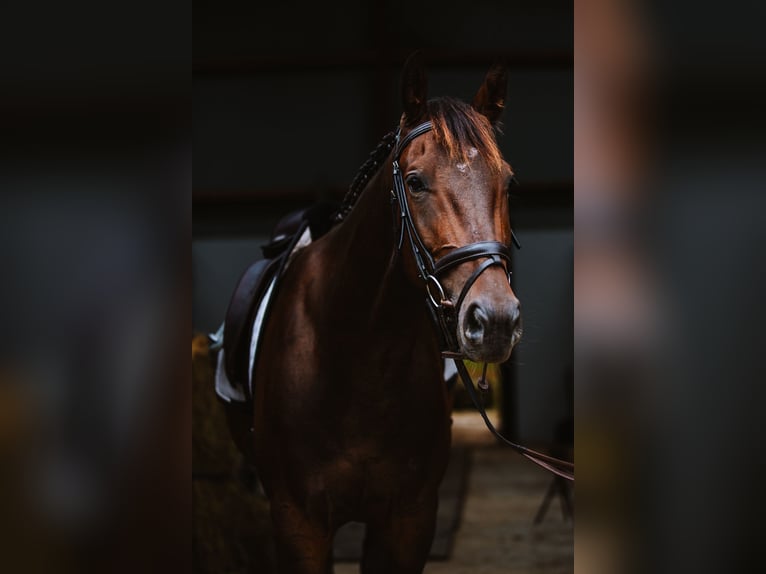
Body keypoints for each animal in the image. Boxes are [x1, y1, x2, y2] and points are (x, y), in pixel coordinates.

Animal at [227, 55, 523, 573]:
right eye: (415, 182)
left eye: (506, 182)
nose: (495, 320)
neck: (357, 353)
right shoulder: (299, 523)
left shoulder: (408, 522)